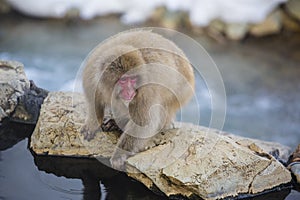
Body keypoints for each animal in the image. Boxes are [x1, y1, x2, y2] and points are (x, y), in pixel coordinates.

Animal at [81, 29, 195, 170]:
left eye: (133, 79)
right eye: (123, 80)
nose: (130, 92)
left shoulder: (146, 90)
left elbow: (143, 123)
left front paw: (119, 155)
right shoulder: (91, 76)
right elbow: (93, 101)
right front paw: (92, 123)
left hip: (182, 91)